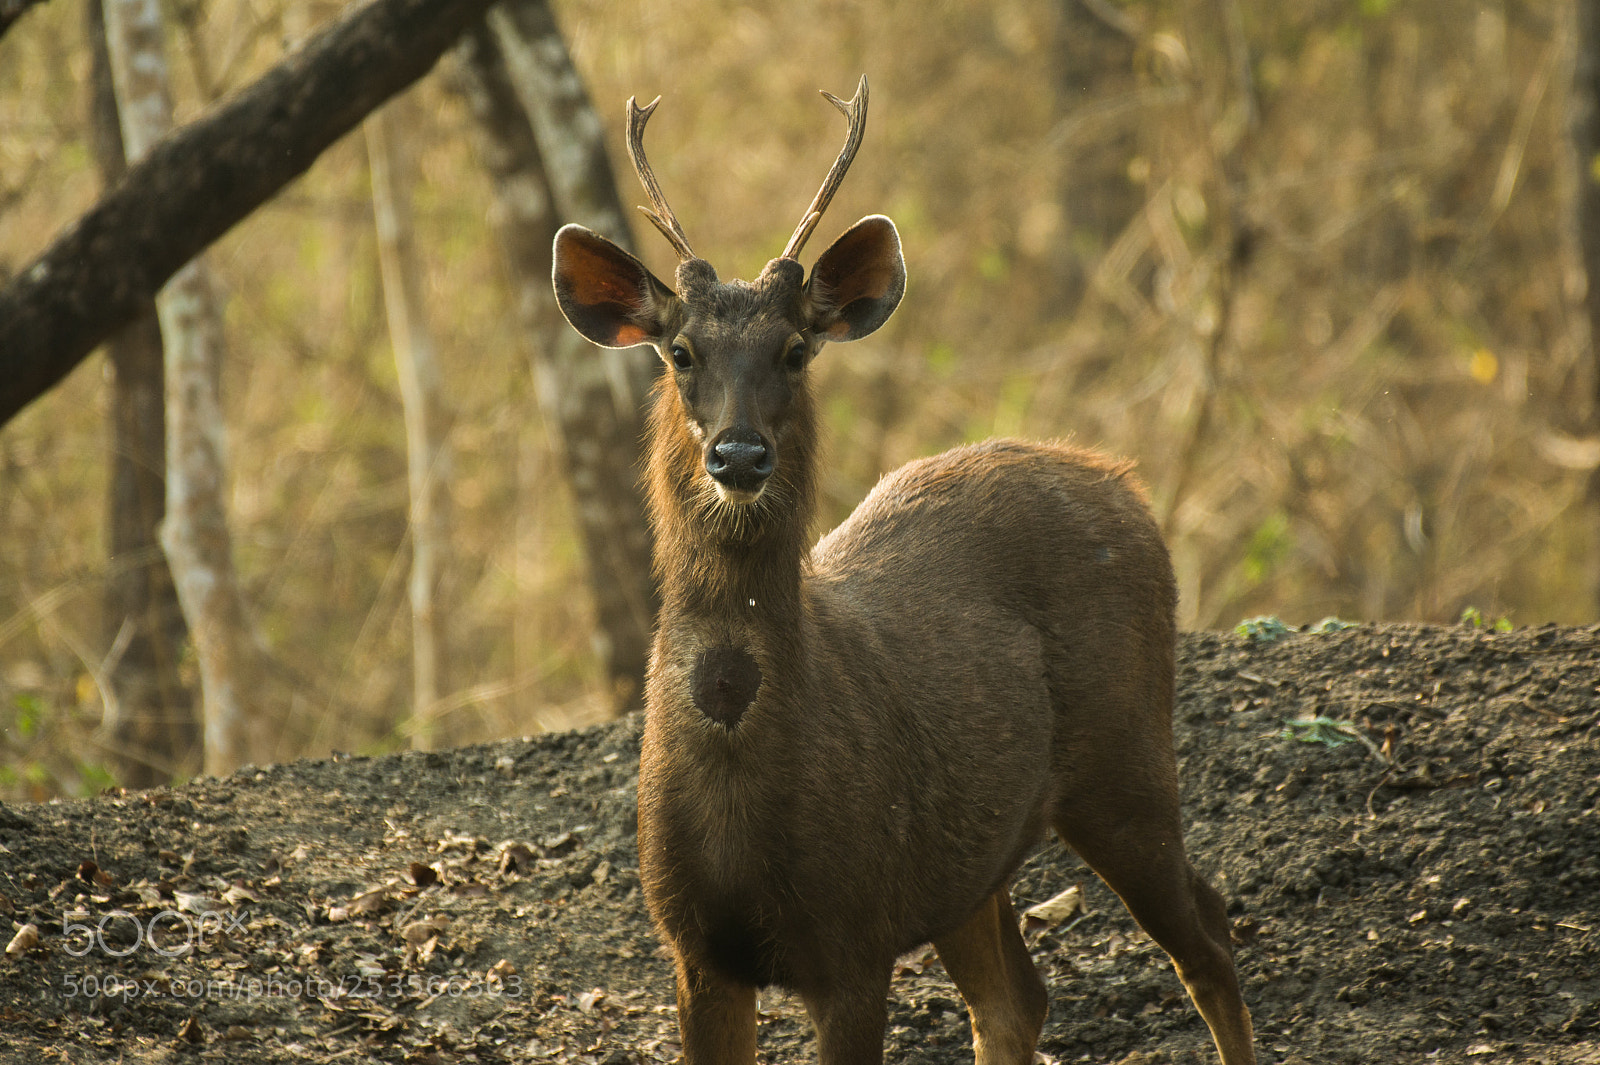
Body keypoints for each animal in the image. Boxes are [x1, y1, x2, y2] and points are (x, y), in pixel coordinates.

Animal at [550, 75, 1256, 1065]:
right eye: (680, 352)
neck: (741, 797)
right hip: (971, 860)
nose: (739, 453)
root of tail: (1120, 478)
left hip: (1127, 756)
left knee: (1209, 933)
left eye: (795, 350)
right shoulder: (696, 946)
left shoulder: (854, 930)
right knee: (1017, 995)